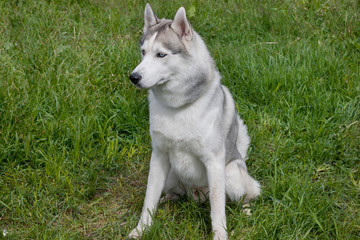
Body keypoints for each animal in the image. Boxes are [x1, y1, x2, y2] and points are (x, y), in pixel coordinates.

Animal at [128, 4, 260, 240]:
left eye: (161, 54)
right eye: (143, 52)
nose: (134, 77)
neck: (177, 108)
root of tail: (197, 195)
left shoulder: (214, 162)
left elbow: (217, 209)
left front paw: (220, 235)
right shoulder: (159, 156)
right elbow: (149, 199)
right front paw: (142, 229)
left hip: (232, 174)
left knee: (246, 194)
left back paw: (246, 211)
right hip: (172, 176)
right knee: (174, 193)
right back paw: (168, 200)